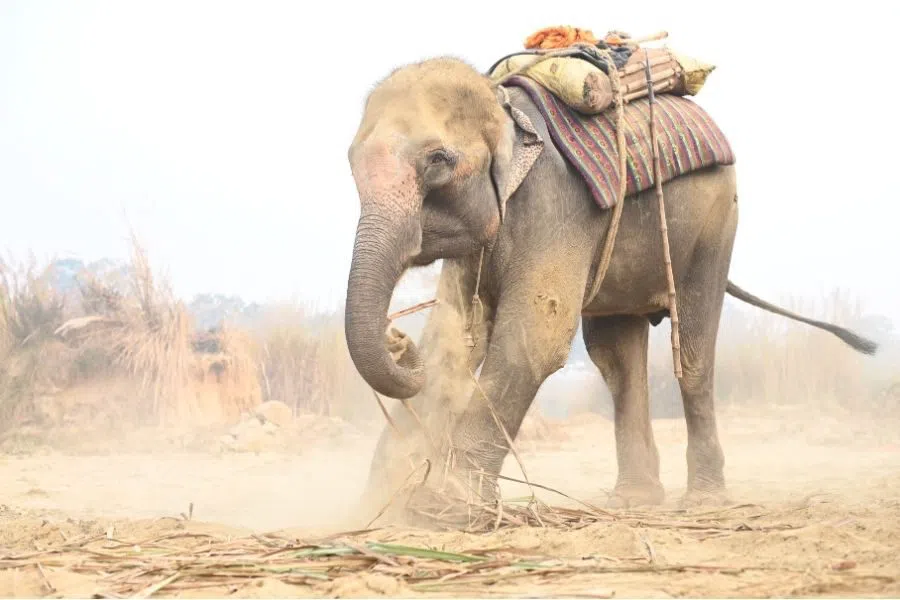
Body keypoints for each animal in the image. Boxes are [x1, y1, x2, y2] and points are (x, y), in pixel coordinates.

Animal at [343, 57, 877, 515]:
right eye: (350, 163)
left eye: (437, 160)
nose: (396, 336)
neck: (503, 107)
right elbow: (450, 342)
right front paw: (373, 509)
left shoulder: (555, 207)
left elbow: (531, 341)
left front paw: (442, 510)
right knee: (617, 360)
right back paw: (634, 500)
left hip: (716, 222)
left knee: (693, 352)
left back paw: (703, 501)